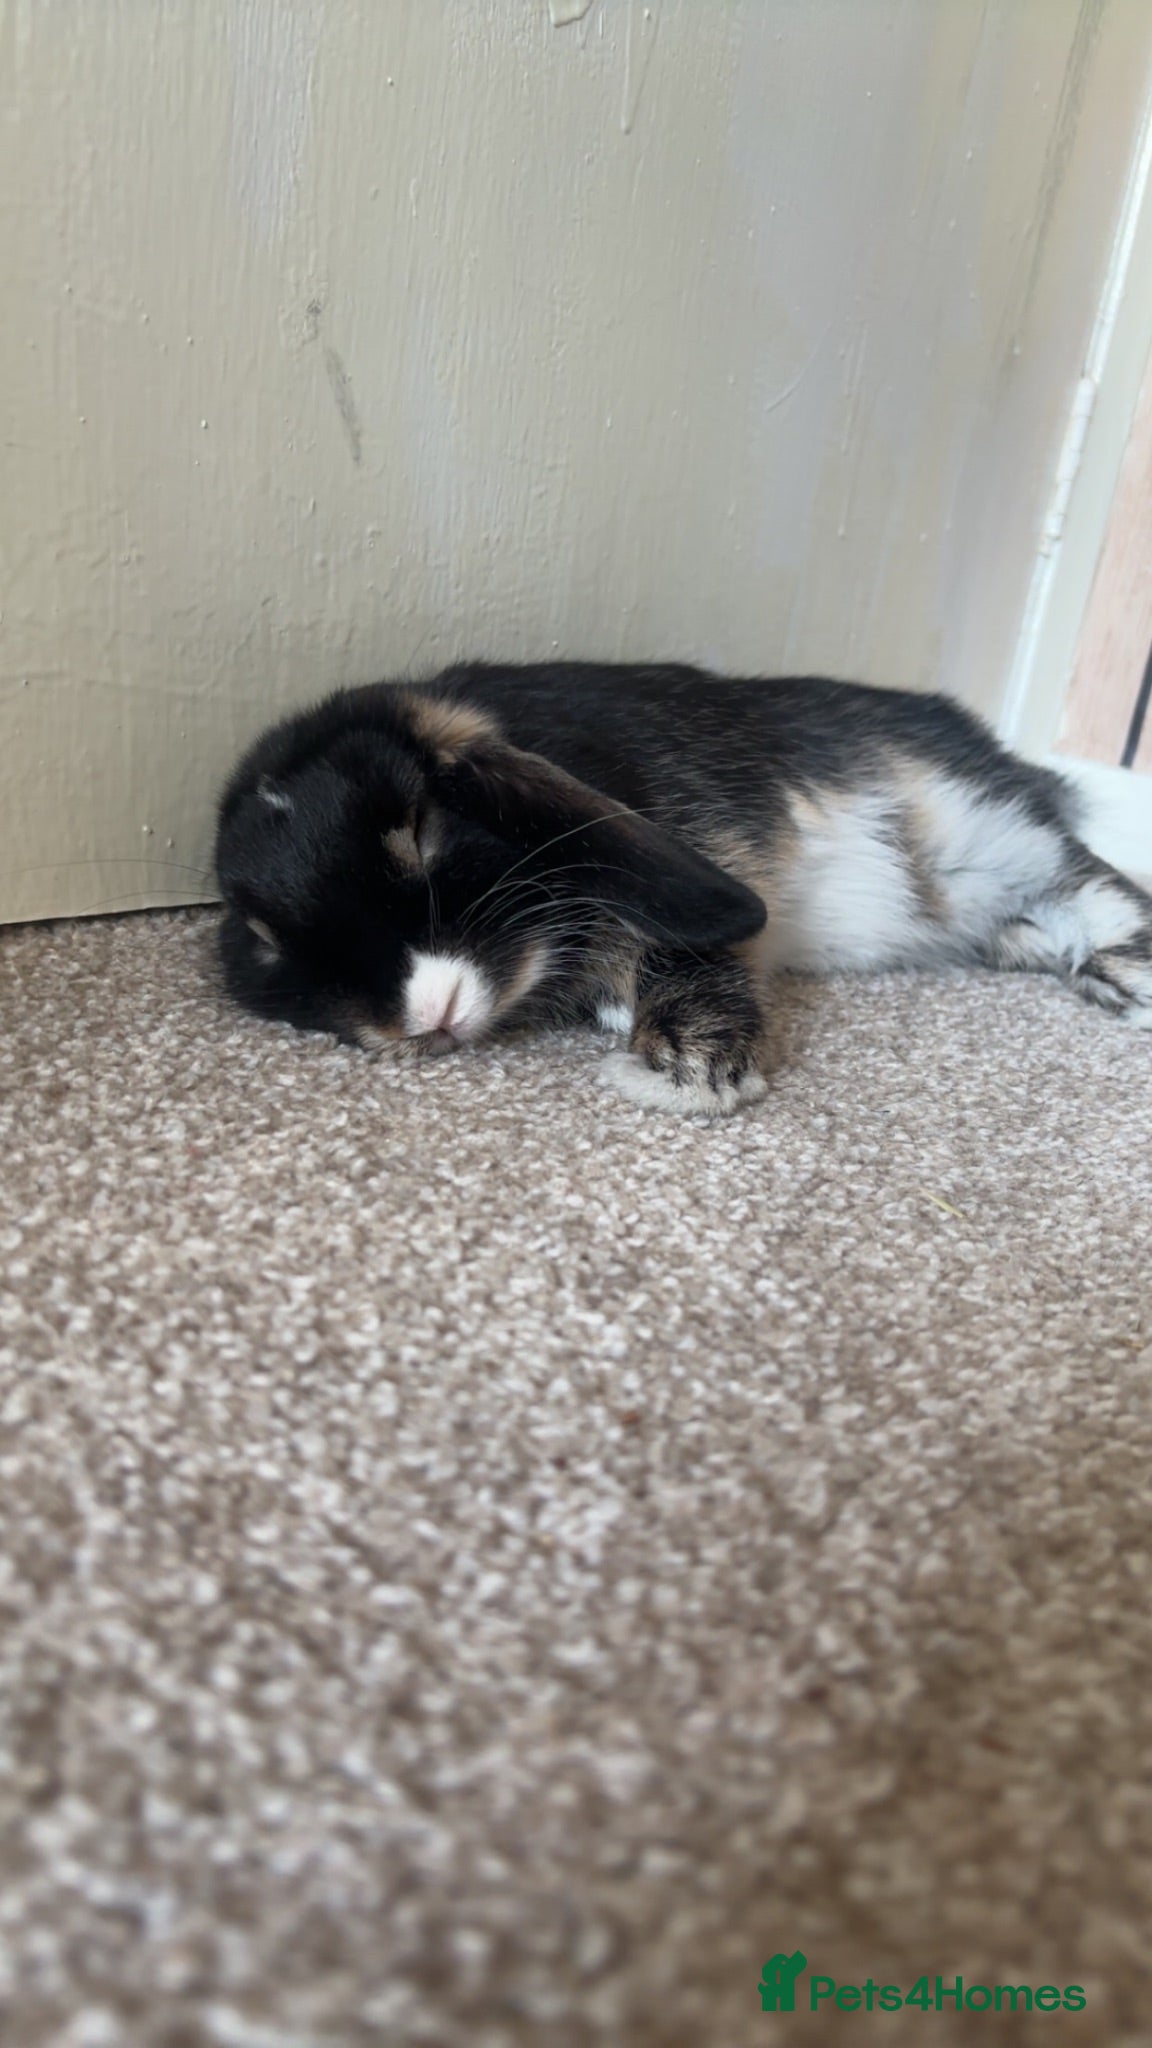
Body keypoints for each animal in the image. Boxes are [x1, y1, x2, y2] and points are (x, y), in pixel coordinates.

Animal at [214, 661, 1152, 1117]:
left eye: (419, 829)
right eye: (260, 939)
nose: (422, 1016)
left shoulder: (705, 844)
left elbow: (686, 948)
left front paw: (687, 1066)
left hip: (978, 830)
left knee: (1091, 878)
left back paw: (1126, 977)